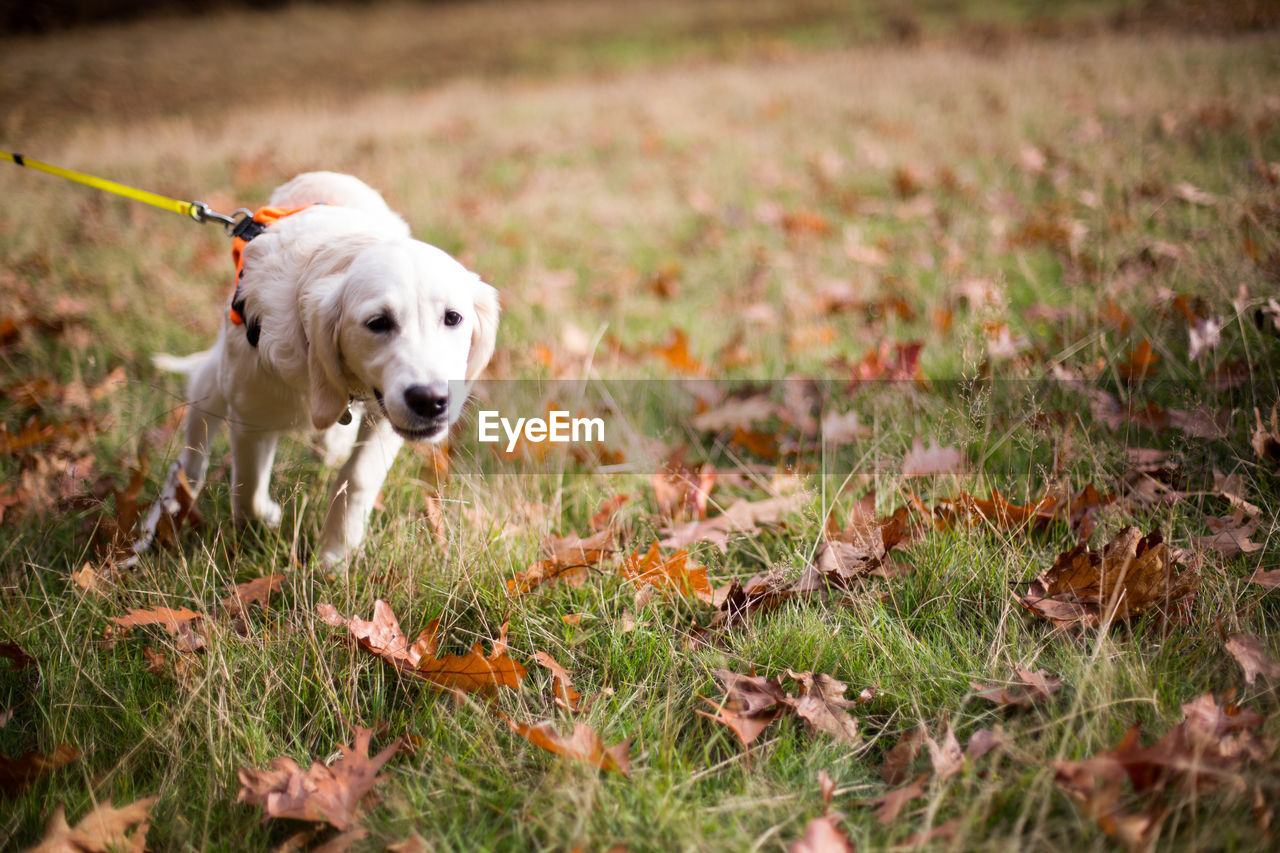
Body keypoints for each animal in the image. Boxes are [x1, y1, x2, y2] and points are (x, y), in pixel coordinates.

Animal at [151, 170, 499, 563]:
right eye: (378, 322)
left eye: (453, 318)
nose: (430, 401)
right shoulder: (251, 412)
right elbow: (249, 490)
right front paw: (265, 520)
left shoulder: (385, 419)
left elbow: (358, 476)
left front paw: (337, 552)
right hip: (216, 380)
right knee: (197, 428)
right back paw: (175, 499)